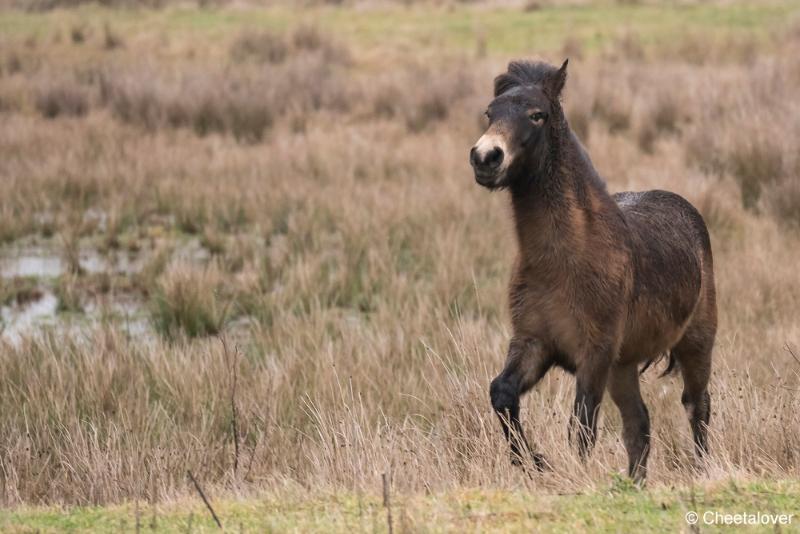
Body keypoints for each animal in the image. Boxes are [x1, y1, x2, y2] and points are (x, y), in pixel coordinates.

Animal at [468, 60, 720, 484]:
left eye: (537, 115)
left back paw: (702, 470)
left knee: (696, 405)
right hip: (625, 366)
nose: (486, 157)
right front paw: (534, 462)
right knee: (639, 424)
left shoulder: (594, 353)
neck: (565, 260)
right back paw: (635, 483)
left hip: (696, 344)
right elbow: (502, 393)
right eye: (490, 113)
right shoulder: (534, 342)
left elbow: (581, 426)